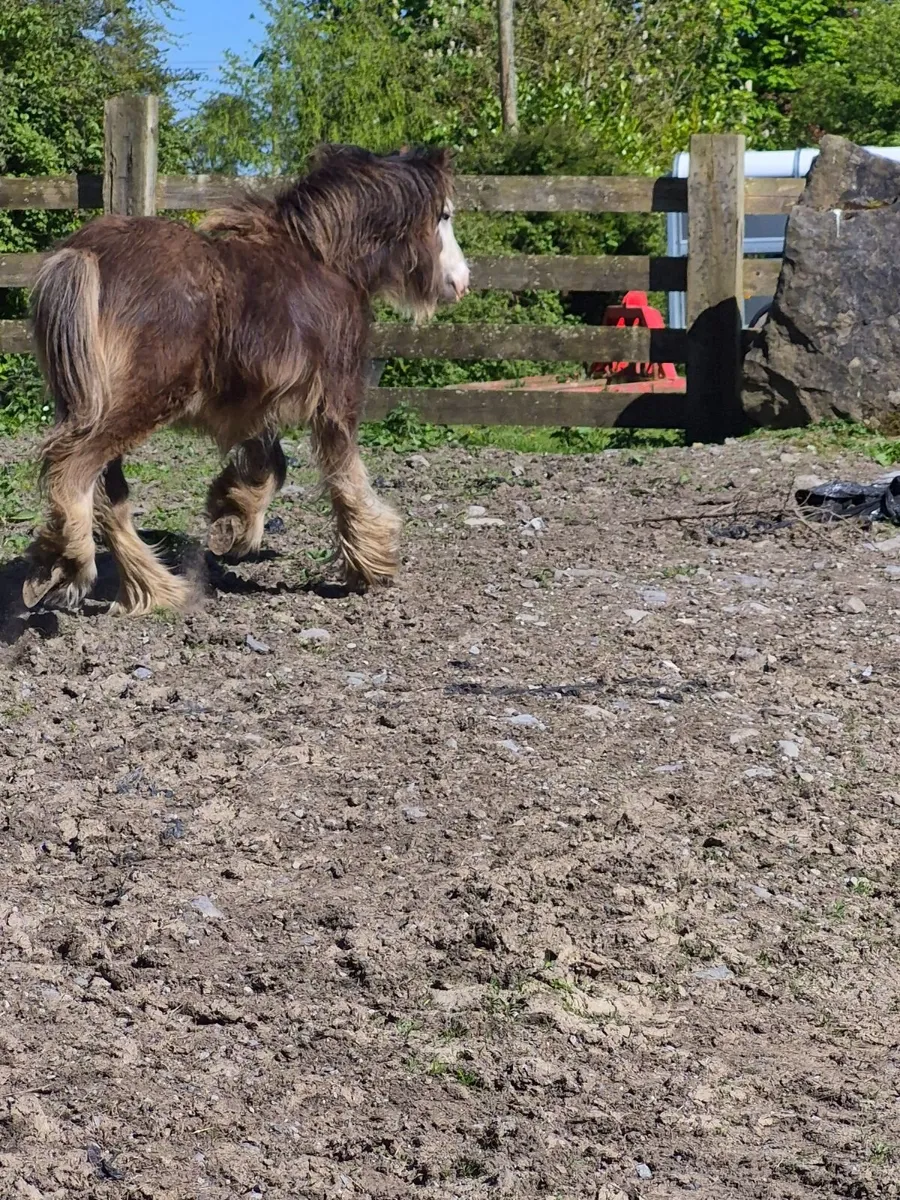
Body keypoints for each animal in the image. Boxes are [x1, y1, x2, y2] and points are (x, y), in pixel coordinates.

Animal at [22, 144, 470, 615]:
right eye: (444, 215)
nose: (462, 283)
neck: (325, 258)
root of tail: (83, 255)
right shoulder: (335, 394)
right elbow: (345, 475)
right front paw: (373, 563)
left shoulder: (255, 400)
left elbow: (270, 465)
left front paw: (231, 518)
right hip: (139, 402)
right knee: (72, 471)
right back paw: (69, 564)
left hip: (93, 403)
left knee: (108, 496)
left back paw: (156, 589)